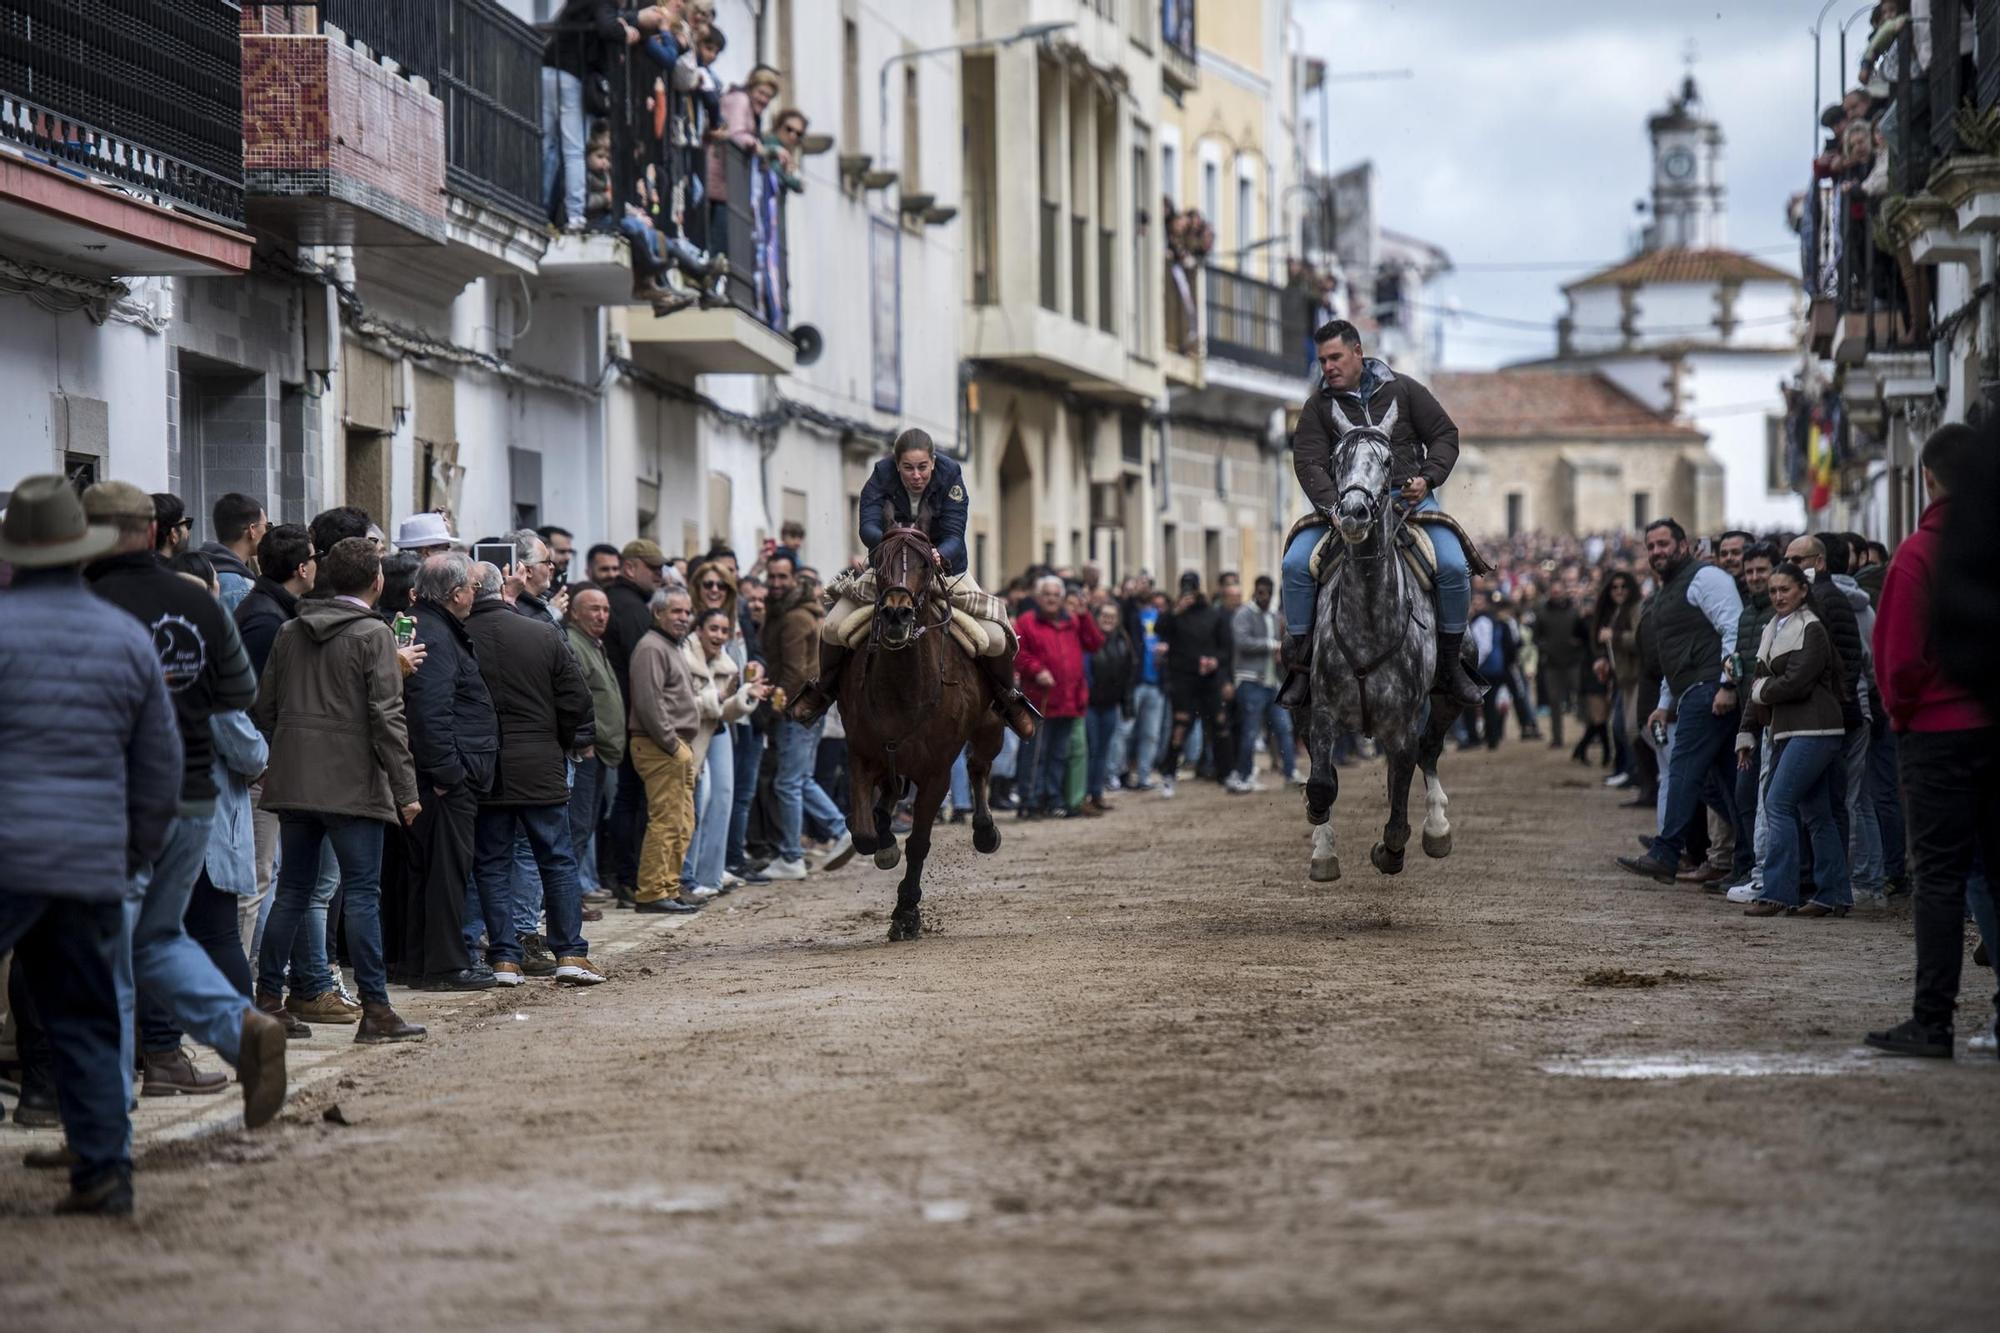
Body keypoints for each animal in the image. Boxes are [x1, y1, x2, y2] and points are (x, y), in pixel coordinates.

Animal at [836, 520, 1008, 932]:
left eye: (925, 565)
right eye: (880, 563)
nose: (896, 615)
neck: (903, 688)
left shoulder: (935, 774)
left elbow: (918, 843)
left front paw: (906, 912)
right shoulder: (861, 756)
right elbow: (863, 832)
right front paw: (883, 844)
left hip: (990, 726)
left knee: (978, 766)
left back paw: (985, 829)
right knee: (891, 792)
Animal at [1296, 394, 1472, 880]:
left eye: (1389, 460)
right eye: (1336, 460)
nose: (1353, 513)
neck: (1370, 624)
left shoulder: (1403, 725)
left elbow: (1399, 805)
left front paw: (1391, 850)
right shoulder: (1321, 713)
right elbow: (1322, 784)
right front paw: (1323, 847)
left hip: (1448, 698)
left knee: (1430, 751)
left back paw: (1437, 827)